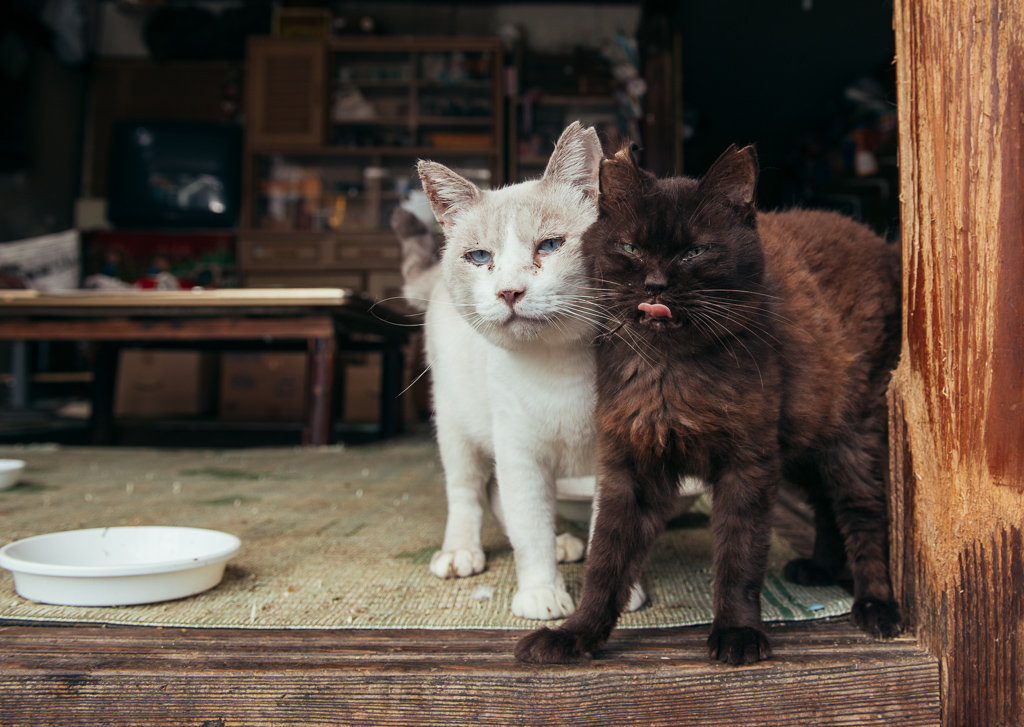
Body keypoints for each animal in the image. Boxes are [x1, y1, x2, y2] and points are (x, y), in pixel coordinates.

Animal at [399, 123, 606, 622]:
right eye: (479, 257)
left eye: (549, 246)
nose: (509, 292)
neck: (559, 369)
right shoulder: (521, 454)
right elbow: (529, 530)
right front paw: (542, 594)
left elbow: (607, 537)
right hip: (455, 426)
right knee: (469, 491)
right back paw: (460, 553)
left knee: (497, 496)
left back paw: (564, 543)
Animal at [516, 142, 901, 667]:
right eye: (631, 248)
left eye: (695, 251)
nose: (656, 284)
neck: (669, 371)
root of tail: (881, 244)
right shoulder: (630, 467)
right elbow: (605, 560)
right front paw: (577, 634)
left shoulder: (749, 464)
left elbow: (739, 555)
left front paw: (738, 632)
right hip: (805, 439)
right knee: (824, 503)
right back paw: (820, 568)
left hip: (852, 439)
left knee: (863, 514)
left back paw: (876, 605)